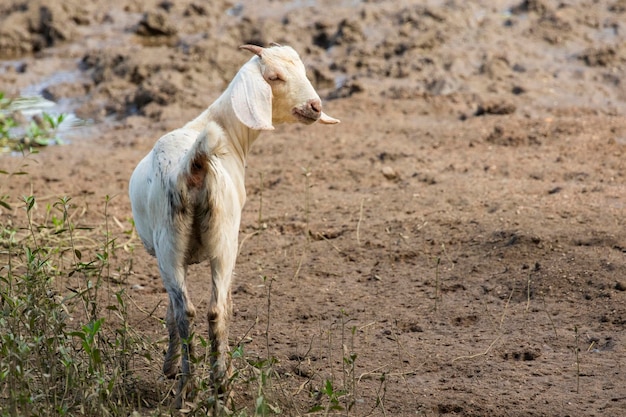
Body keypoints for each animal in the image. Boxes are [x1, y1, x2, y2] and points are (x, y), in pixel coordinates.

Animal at [129, 44, 338, 404]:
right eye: (274, 77)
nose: (315, 107)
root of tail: (193, 164)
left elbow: (170, 312)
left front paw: (169, 368)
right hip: (219, 242)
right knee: (215, 309)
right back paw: (216, 381)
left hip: (177, 247)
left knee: (193, 312)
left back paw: (191, 386)